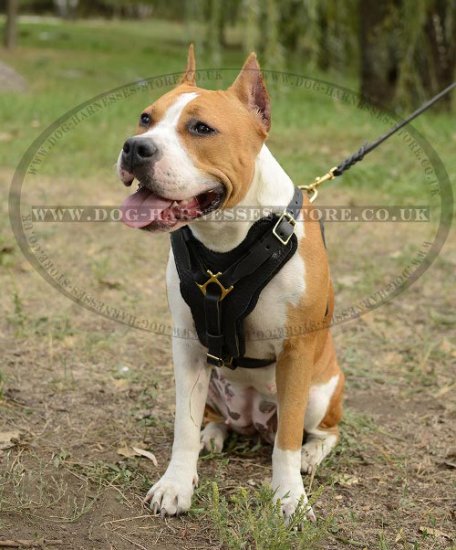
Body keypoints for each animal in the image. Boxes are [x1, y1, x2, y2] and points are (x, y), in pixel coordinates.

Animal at [116, 46, 344, 520]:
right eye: (146, 118)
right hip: (216, 386)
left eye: (201, 128)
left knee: (321, 431)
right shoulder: (187, 345)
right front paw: (176, 484)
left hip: (319, 392)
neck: (228, 238)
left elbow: (287, 440)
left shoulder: (296, 351)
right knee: (212, 417)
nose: (134, 147)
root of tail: (255, 423)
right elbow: (183, 426)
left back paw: (312, 454)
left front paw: (289, 496)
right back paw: (213, 434)